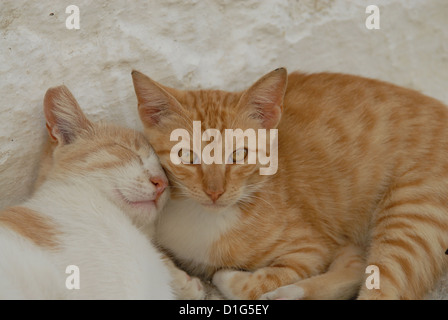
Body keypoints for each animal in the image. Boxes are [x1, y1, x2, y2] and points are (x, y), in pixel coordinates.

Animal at [131, 68, 448, 300]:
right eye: (186, 155)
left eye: (240, 154)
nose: (214, 191)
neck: (206, 220)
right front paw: (184, 282)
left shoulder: (311, 249)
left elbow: (266, 278)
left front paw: (228, 278)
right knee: (358, 264)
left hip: (410, 215)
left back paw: (283, 293)